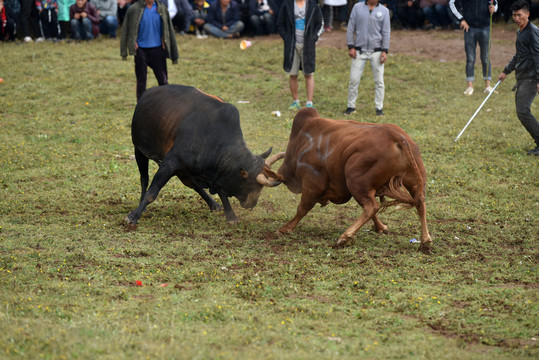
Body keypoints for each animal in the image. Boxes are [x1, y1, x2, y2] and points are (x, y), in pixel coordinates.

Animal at [124, 85, 280, 225]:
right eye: (251, 185)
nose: (252, 203)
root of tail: (149, 92)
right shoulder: (170, 163)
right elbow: (152, 193)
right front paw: (133, 216)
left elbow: (220, 191)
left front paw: (230, 215)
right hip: (139, 150)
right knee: (144, 179)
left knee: (194, 186)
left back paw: (213, 204)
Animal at [264, 108, 432, 252]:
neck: (300, 144)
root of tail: (394, 134)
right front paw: (381, 227)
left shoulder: (312, 183)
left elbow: (303, 208)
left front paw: (286, 228)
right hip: (413, 181)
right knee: (419, 202)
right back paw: (425, 240)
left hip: (355, 180)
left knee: (371, 206)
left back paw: (345, 237)